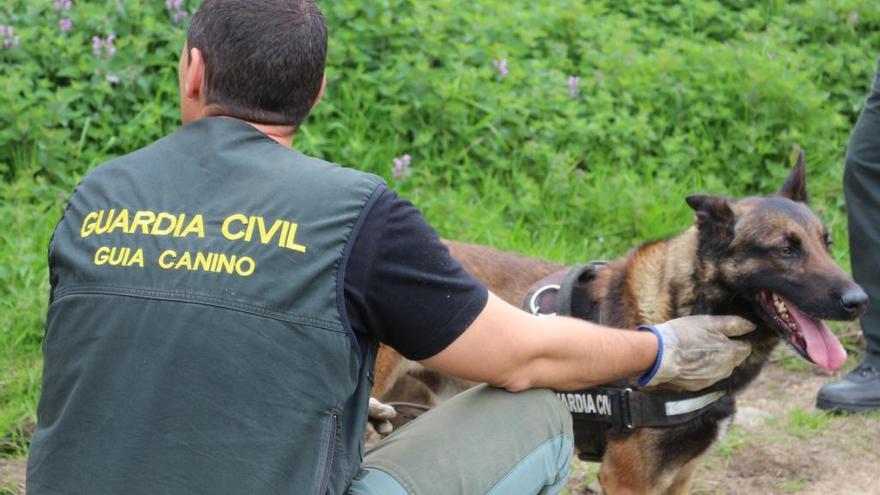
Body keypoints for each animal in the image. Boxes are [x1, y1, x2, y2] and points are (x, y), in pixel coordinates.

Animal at [370, 153, 868, 494]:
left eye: (826, 244)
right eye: (785, 250)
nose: (859, 301)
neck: (682, 306)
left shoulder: (682, 477)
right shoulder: (630, 480)